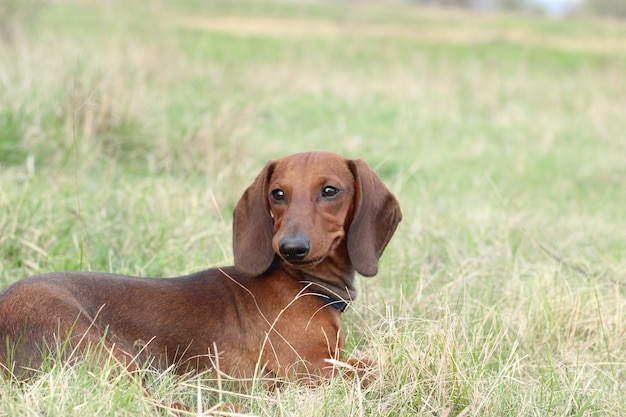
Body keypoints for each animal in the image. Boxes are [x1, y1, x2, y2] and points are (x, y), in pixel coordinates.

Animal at [0, 150, 400, 384]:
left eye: (330, 191)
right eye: (278, 193)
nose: (291, 247)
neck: (301, 282)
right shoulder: (309, 368)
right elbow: (373, 366)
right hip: (108, 354)